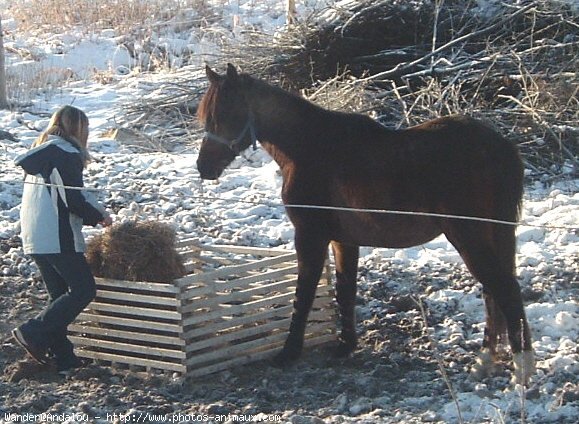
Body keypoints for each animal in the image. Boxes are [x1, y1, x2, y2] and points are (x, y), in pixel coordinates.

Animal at [197, 63, 536, 384]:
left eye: (226, 114)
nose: (204, 168)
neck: (310, 148)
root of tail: (498, 147)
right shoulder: (343, 240)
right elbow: (345, 290)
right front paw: (345, 345)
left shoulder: (310, 236)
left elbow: (303, 294)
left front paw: (289, 353)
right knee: (494, 293)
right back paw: (486, 362)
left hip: (469, 237)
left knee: (505, 291)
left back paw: (521, 371)